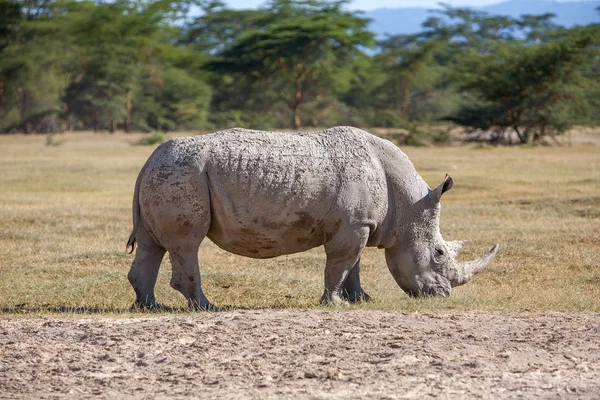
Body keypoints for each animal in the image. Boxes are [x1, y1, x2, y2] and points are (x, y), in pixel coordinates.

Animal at [126, 126, 496, 310]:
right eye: (439, 253)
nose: (442, 296)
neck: (408, 205)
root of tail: (148, 159)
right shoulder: (354, 225)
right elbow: (340, 265)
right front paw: (334, 304)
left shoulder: (358, 223)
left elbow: (353, 266)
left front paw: (361, 301)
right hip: (183, 173)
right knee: (187, 244)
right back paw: (207, 307)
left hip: (168, 172)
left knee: (151, 244)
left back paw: (149, 308)